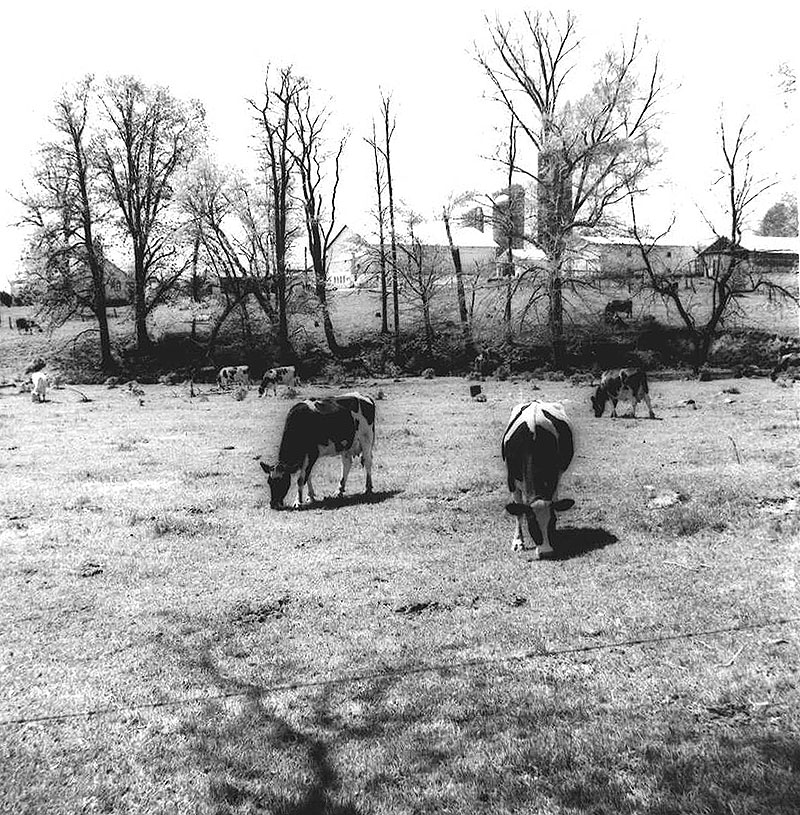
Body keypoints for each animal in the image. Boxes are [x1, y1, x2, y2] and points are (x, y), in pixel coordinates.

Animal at [500, 400, 576, 556]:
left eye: (553, 521)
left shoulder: (553, 476)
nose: (546, 552)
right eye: (532, 523)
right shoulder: (511, 480)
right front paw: (518, 542)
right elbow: (519, 513)